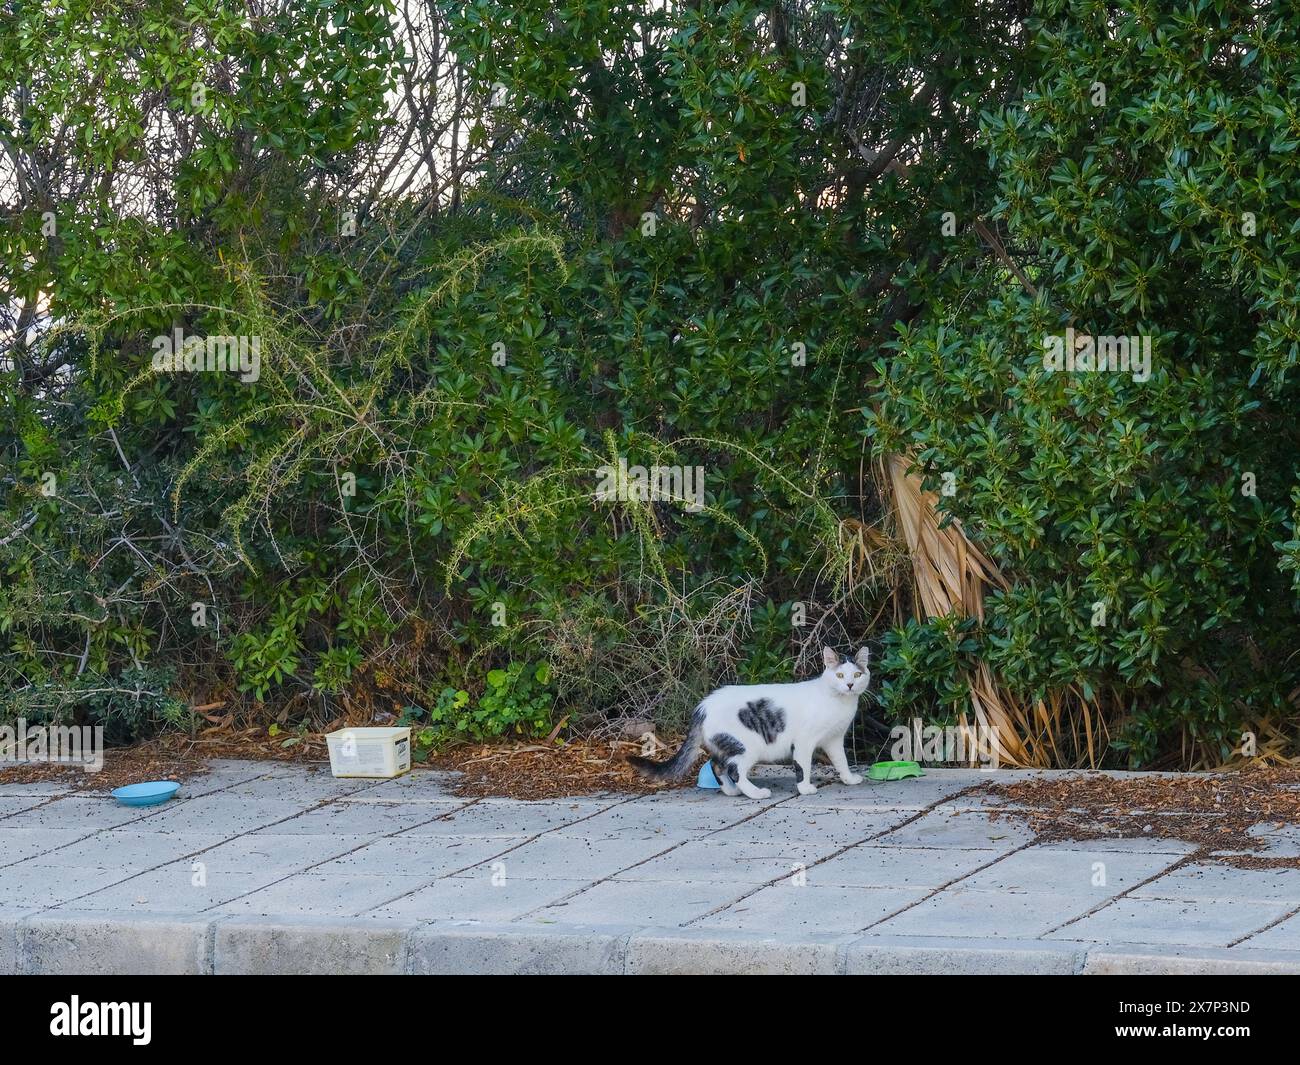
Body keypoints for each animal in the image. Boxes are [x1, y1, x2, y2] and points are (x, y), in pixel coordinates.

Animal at [631, 642, 873, 801]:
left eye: (857, 675)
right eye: (840, 676)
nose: (850, 685)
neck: (838, 702)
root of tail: (703, 705)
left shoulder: (834, 739)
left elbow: (841, 760)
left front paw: (849, 779)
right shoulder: (805, 741)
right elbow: (803, 765)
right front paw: (805, 788)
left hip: (726, 743)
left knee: (716, 764)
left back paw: (732, 791)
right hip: (747, 746)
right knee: (733, 769)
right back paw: (756, 793)